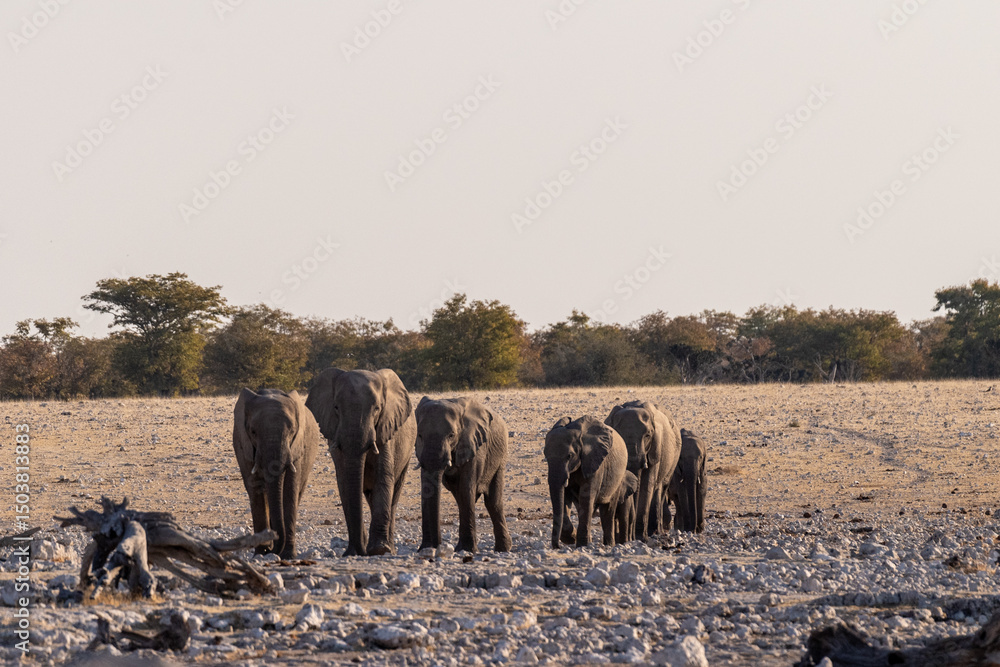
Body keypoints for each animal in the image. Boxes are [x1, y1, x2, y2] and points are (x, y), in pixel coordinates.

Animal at [232, 388, 320, 559]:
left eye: (292, 431)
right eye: (253, 432)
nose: (271, 551)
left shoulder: (296, 448)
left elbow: (289, 490)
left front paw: (288, 555)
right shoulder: (243, 445)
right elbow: (256, 491)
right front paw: (261, 553)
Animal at [305, 368, 416, 557]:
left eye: (377, 409)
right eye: (336, 408)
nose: (357, 551)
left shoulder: (386, 430)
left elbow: (383, 477)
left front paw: (379, 550)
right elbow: (344, 483)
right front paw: (354, 552)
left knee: (394, 493)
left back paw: (389, 549)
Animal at [414, 397, 511, 553]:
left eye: (451, 435)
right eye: (420, 435)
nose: (436, 546)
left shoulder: (473, 446)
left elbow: (467, 488)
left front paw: (468, 550)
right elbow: (429, 488)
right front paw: (426, 549)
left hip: (500, 456)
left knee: (492, 501)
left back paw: (502, 550)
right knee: (460, 498)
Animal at [545, 415, 627, 549]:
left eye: (569, 456)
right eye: (545, 456)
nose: (557, 546)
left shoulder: (594, 462)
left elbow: (587, 497)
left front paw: (581, 545)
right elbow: (565, 497)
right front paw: (571, 538)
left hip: (618, 478)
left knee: (607, 510)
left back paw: (608, 545)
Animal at [605, 400, 682, 541]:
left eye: (647, 436)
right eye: (618, 434)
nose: (632, 536)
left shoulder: (655, 447)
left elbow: (647, 486)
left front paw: (640, 537)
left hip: (675, 454)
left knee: (660, 488)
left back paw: (656, 531)